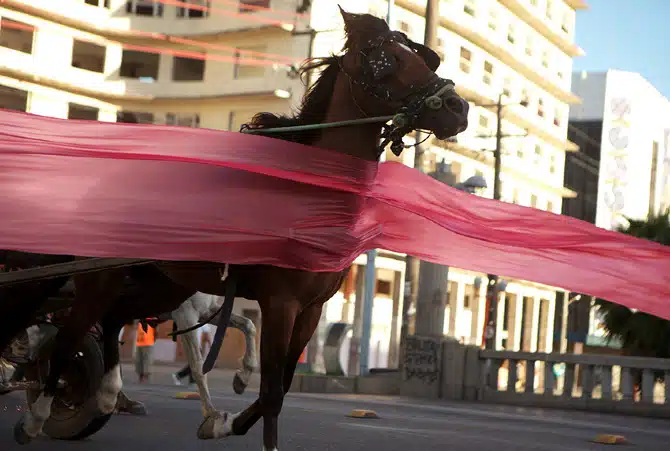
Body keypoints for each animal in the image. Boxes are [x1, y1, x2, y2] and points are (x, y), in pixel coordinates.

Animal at [10, 8, 472, 450]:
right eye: (388, 60)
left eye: (423, 55)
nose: (458, 108)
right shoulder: (280, 302)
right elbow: (270, 392)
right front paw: (234, 424)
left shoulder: (311, 309)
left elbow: (279, 387)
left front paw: (222, 422)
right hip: (103, 278)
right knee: (69, 336)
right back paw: (40, 412)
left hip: (162, 285)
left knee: (110, 320)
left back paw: (106, 394)